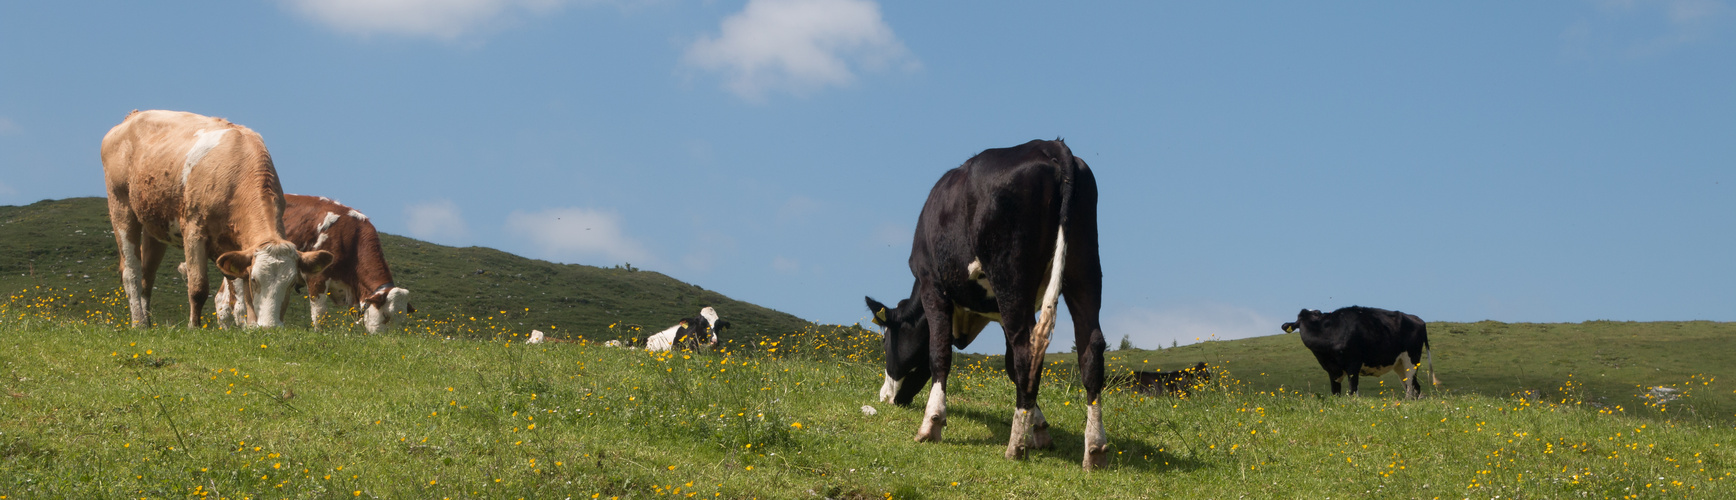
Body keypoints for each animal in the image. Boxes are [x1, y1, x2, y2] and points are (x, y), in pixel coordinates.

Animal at [100, 109, 331, 328]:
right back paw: (138, 323)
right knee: (131, 272)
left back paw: (147, 323)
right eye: (255, 280)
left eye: (291, 283)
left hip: (154, 224)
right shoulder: (194, 230)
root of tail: (132, 117)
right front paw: (194, 327)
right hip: (120, 204)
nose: (271, 326)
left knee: (147, 275)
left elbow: (244, 297)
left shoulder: (240, 248)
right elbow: (198, 287)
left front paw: (251, 328)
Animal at [210, 195, 409, 331]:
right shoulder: (318, 276)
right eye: (386, 315)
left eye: (402, 319)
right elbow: (319, 313)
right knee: (236, 304)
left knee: (221, 300)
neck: (351, 236)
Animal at [861, 138, 1104, 472]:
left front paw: (931, 423)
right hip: (1084, 267)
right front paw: (1039, 427)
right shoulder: (999, 310)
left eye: (886, 341)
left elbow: (940, 354)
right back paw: (1094, 450)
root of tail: (1049, 145)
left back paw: (1015, 447)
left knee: (1027, 349)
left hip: (1010, 276)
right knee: (1090, 348)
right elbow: (1011, 368)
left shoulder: (932, 284)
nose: (886, 397)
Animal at [1277, 305, 1437, 399]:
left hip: (1412, 359)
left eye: (1317, 314)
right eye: (1299, 320)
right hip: (1399, 364)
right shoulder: (1331, 370)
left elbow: (1353, 391)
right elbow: (1335, 393)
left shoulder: (1353, 364)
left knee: (1411, 387)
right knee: (1413, 386)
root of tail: (1416, 319)